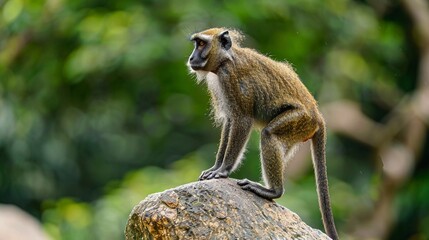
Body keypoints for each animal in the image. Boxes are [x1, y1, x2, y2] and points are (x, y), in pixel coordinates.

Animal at [186, 27, 338, 239]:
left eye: (201, 44)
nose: (191, 57)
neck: (226, 59)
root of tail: (317, 113)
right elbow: (230, 121)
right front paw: (216, 167)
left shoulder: (230, 77)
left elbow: (242, 120)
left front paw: (223, 170)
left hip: (300, 120)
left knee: (269, 134)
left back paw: (273, 191)